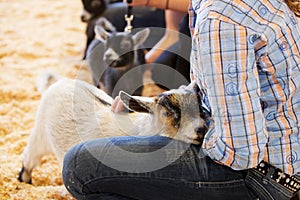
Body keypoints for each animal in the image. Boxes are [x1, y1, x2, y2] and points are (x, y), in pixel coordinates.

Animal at [18, 74, 211, 184]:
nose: (201, 129)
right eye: (167, 112)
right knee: (29, 156)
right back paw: (24, 180)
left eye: (200, 108)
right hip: (40, 134)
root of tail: (60, 82)